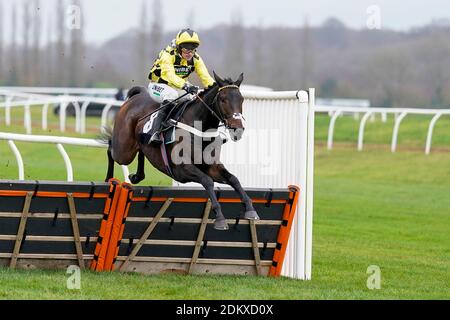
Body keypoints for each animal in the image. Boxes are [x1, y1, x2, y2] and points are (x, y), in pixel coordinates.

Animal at [105, 72, 258, 230]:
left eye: (241, 99)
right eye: (223, 99)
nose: (238, 129)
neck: (199, 129)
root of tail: (137, 95)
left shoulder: (211, 167)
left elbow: (234, 179)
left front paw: (250, 209)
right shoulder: (182, 169)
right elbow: (207, 181)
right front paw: (220, 218)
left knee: (140, 151)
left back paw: (136, 176)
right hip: (124, 150)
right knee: (111, 149)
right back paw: (109, 179)